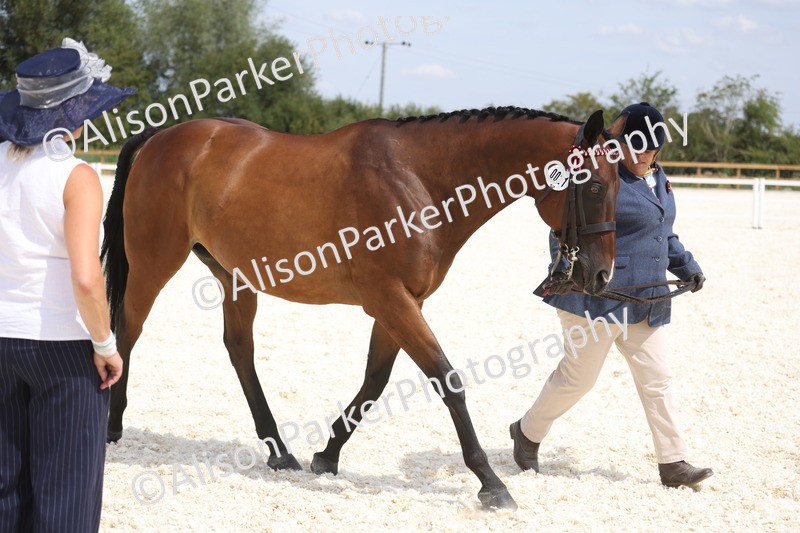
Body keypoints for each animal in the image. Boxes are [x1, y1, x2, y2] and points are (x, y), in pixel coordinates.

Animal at [101, 106, 627, 510]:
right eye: (595, 187)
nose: (601, 277)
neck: (419, 178)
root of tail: (161, 137)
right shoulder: (391, 299)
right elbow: (447, 381)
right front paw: (491, 484)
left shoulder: (401, 303)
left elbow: (375, 381)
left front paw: (327, 455)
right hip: (153, 263)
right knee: (127, 331)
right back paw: (111, 425)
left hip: (234, 276)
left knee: (239, 351)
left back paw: (279, 451)